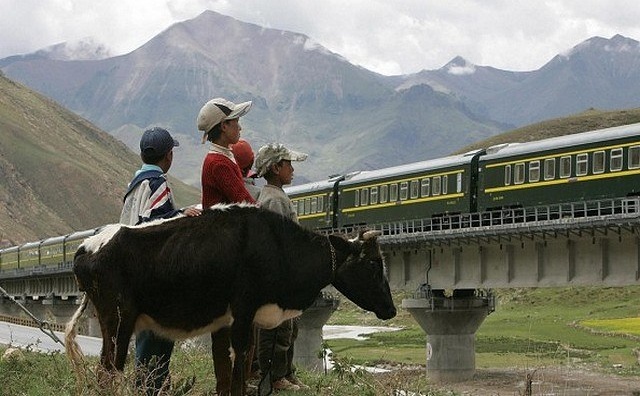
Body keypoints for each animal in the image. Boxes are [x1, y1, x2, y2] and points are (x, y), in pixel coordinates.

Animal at [65, 204, 396, 396]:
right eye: (373, 264)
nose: (391, 309)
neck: (278, 246)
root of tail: (87, 246)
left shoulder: (243, 318)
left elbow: (238, 361)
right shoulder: (244, 310)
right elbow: (240, 360)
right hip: (118, 320)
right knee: (109, 369)